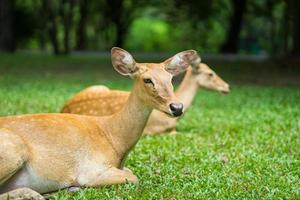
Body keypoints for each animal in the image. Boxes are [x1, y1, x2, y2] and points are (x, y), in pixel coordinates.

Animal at [0, 47, 197, 198]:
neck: (114, 139)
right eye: (147, 80)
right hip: (13, 150)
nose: (177, 107)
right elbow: (134, 177)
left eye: (170, 79)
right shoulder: (91, 169)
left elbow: (131, 173)